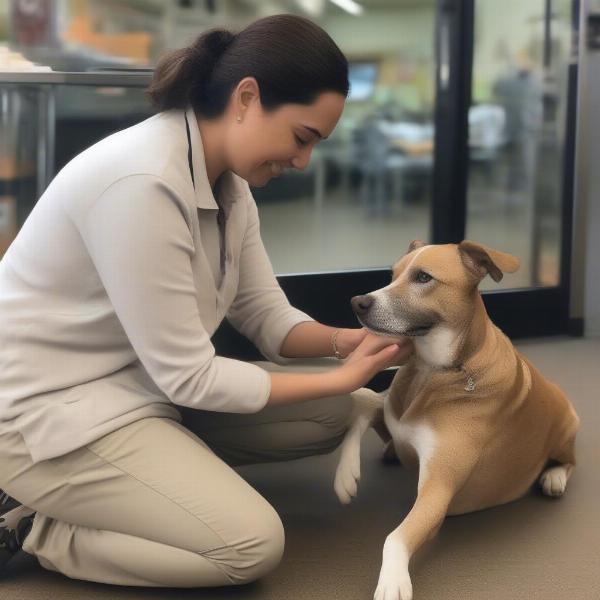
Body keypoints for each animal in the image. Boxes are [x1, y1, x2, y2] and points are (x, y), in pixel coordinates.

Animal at [336, 241, 580, 600]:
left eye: (423, 277)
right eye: (393, 275)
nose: (358, 302)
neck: (436, 370)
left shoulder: (436, 492)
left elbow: (395, 537)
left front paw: (392, 580)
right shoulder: (392, 412)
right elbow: (364, 401)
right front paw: (346, 475)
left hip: (565, 425)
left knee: (569, 460)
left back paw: (554, 477)